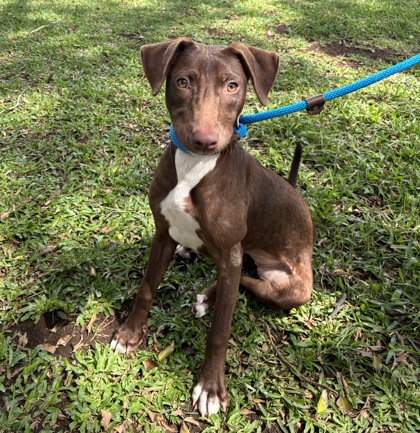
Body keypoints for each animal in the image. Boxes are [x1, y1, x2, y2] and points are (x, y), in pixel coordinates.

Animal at [110, 38, 314, 417]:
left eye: (232, 86)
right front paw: (130, 333)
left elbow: (220, 329)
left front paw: (211, 387)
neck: (195, 166)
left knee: (247, 279)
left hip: (292, 288)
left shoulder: (230, 252)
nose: (205, 140)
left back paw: (208, 296)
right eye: (182, 82)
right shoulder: (162, 232)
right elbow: (146, 288)